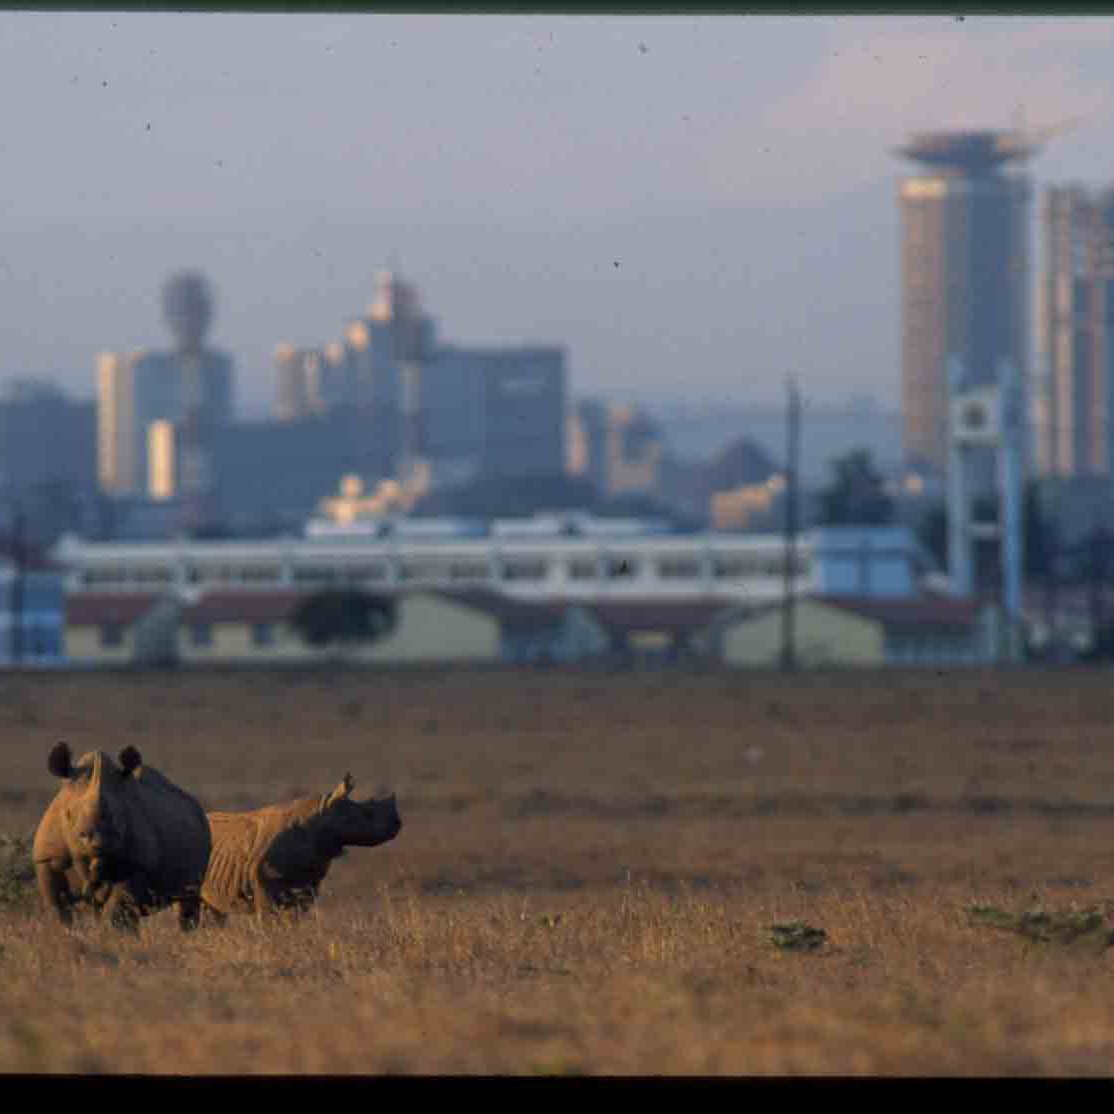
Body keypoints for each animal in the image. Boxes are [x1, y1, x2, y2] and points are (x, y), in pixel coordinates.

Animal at [33, 744, 210, 935]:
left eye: (119, 818)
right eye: (68, 814)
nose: (98, 843)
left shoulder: (136, 864)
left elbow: (117, 911)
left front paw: (117, 939)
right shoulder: (47, 859)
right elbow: (58, 908)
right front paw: (63, 934)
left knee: (188, 899)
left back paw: (187, 935)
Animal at [202, 770, 403, 917]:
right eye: (368, 814)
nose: (398, 824)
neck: (321, 814)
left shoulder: (309, 880)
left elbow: (296, 914)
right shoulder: (264, 880)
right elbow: (269, 916)